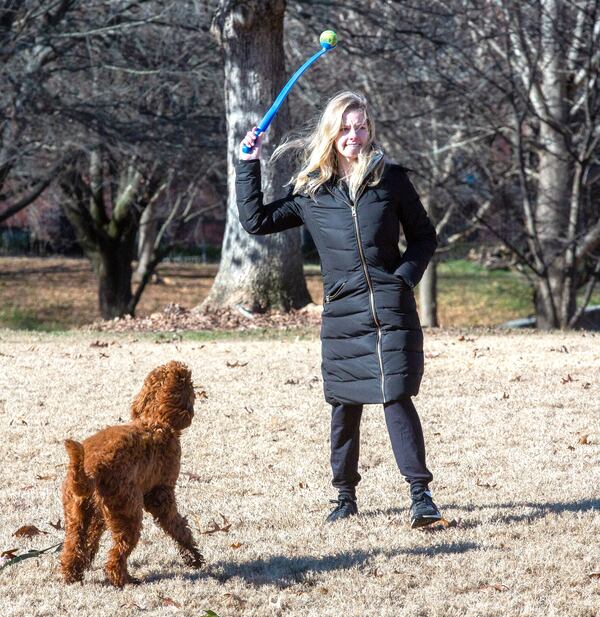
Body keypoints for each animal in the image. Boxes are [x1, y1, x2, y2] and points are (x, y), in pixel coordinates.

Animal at [60, 358, 204, 584]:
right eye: (190, 383)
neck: (156, 420)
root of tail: (91, 469)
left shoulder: (98, 514)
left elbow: (92, 538)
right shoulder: (161, 494)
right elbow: (178, 526)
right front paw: (192, 556)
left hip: (77, 512)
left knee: (72, 547)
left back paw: (72, 574)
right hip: (127, 510)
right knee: (117, 554)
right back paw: (124, 579)